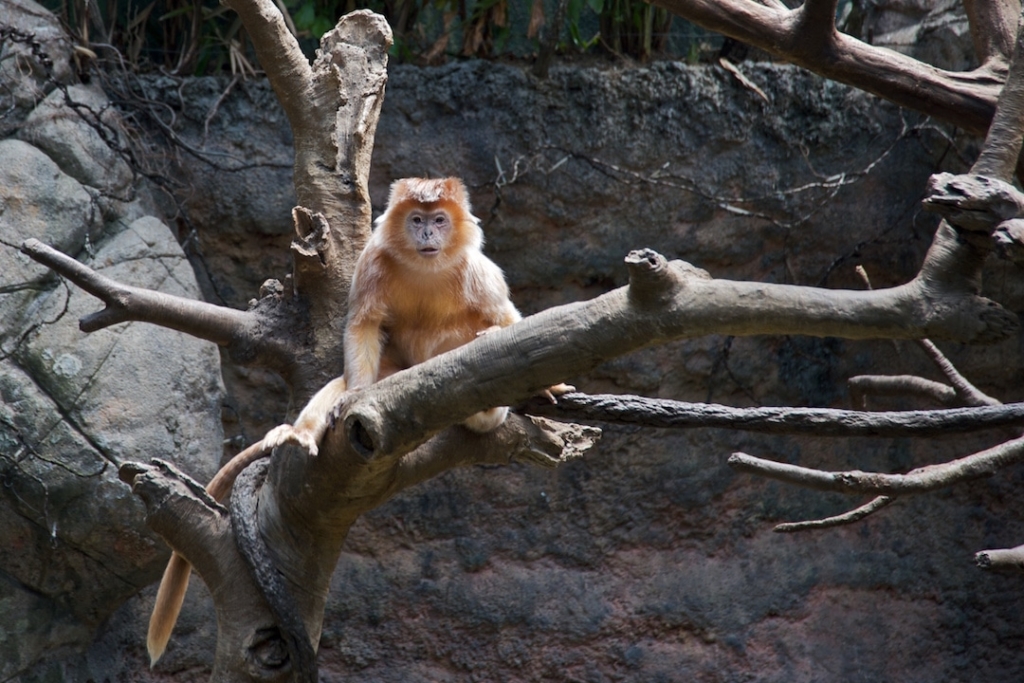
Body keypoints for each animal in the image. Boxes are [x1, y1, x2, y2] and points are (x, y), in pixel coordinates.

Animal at [146, 177, 572, 665]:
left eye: (439, 220)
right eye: (417, 220)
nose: (428, 234)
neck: (427, 267)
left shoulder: (480, 274)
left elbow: (505, 320)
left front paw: (549, 383)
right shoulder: (373, 263)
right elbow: (363, 326)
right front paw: (347, 398)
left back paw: (484, 408)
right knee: (348, 382)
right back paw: (303, 431)